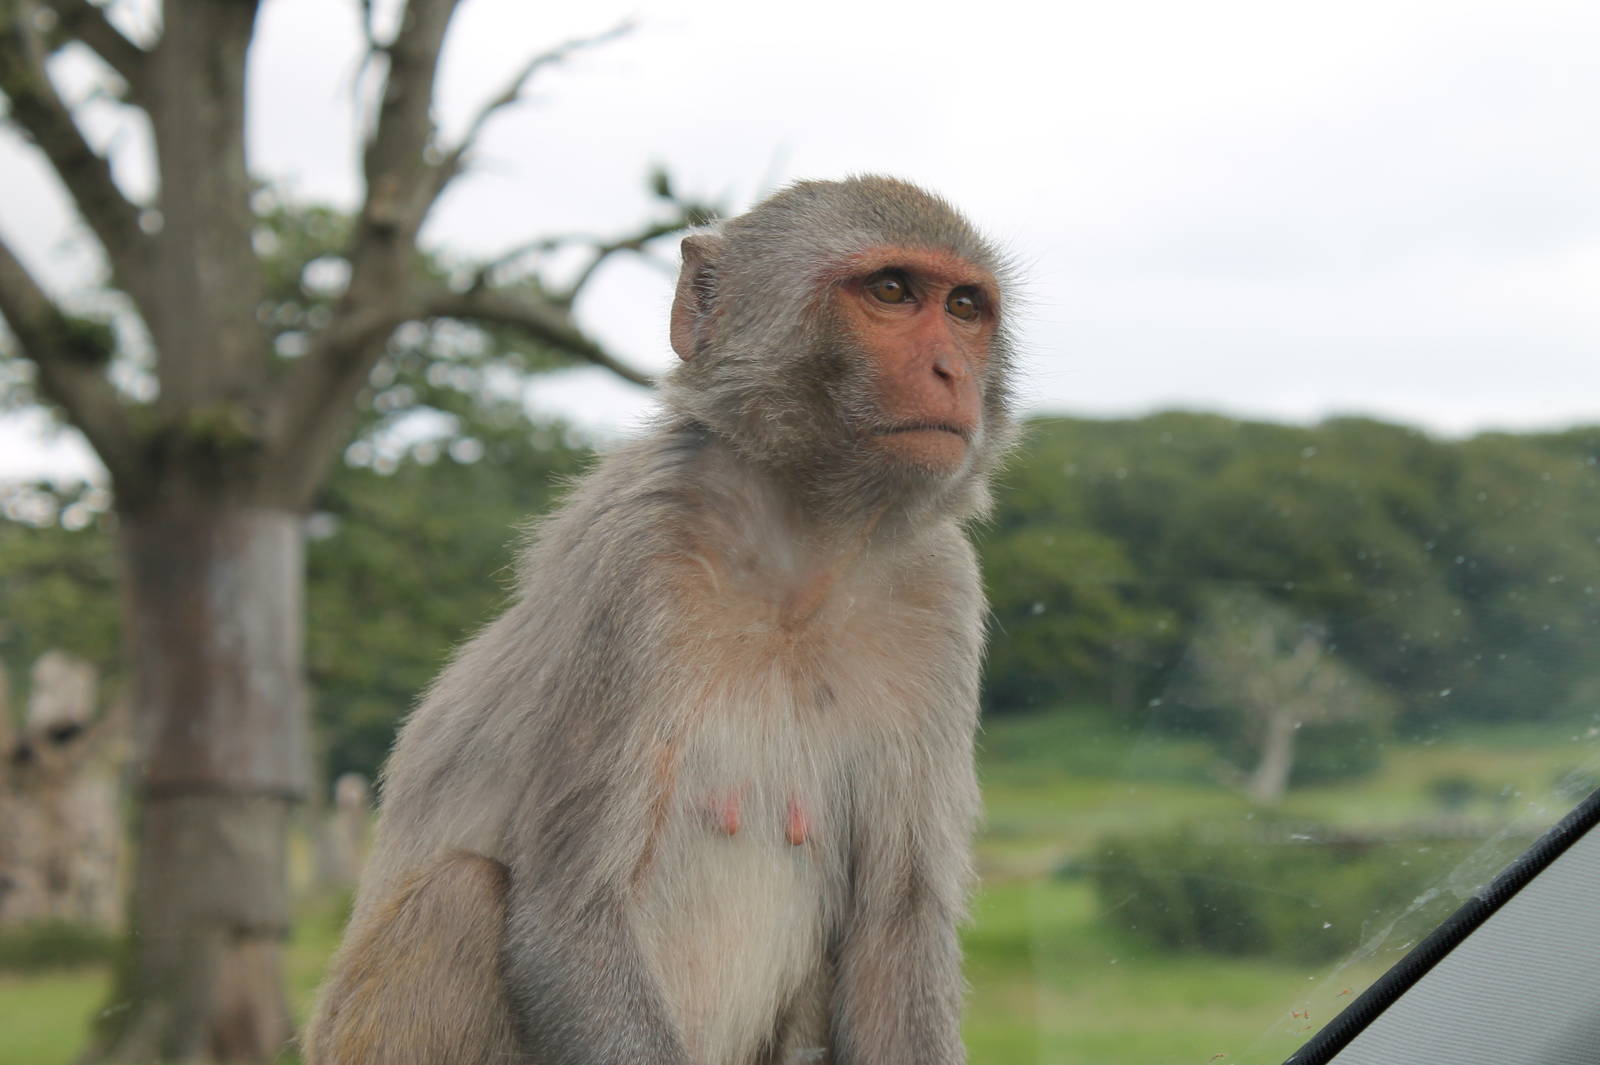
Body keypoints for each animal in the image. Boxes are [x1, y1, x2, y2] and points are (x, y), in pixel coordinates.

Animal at [304, 175, 1018, 1065]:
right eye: (891, 291)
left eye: (964, 306)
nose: (951, 369)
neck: (799, 556)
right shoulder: (633, 564)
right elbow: (572, 915)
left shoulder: (940, 592)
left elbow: (895, 927)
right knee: (462, 893)